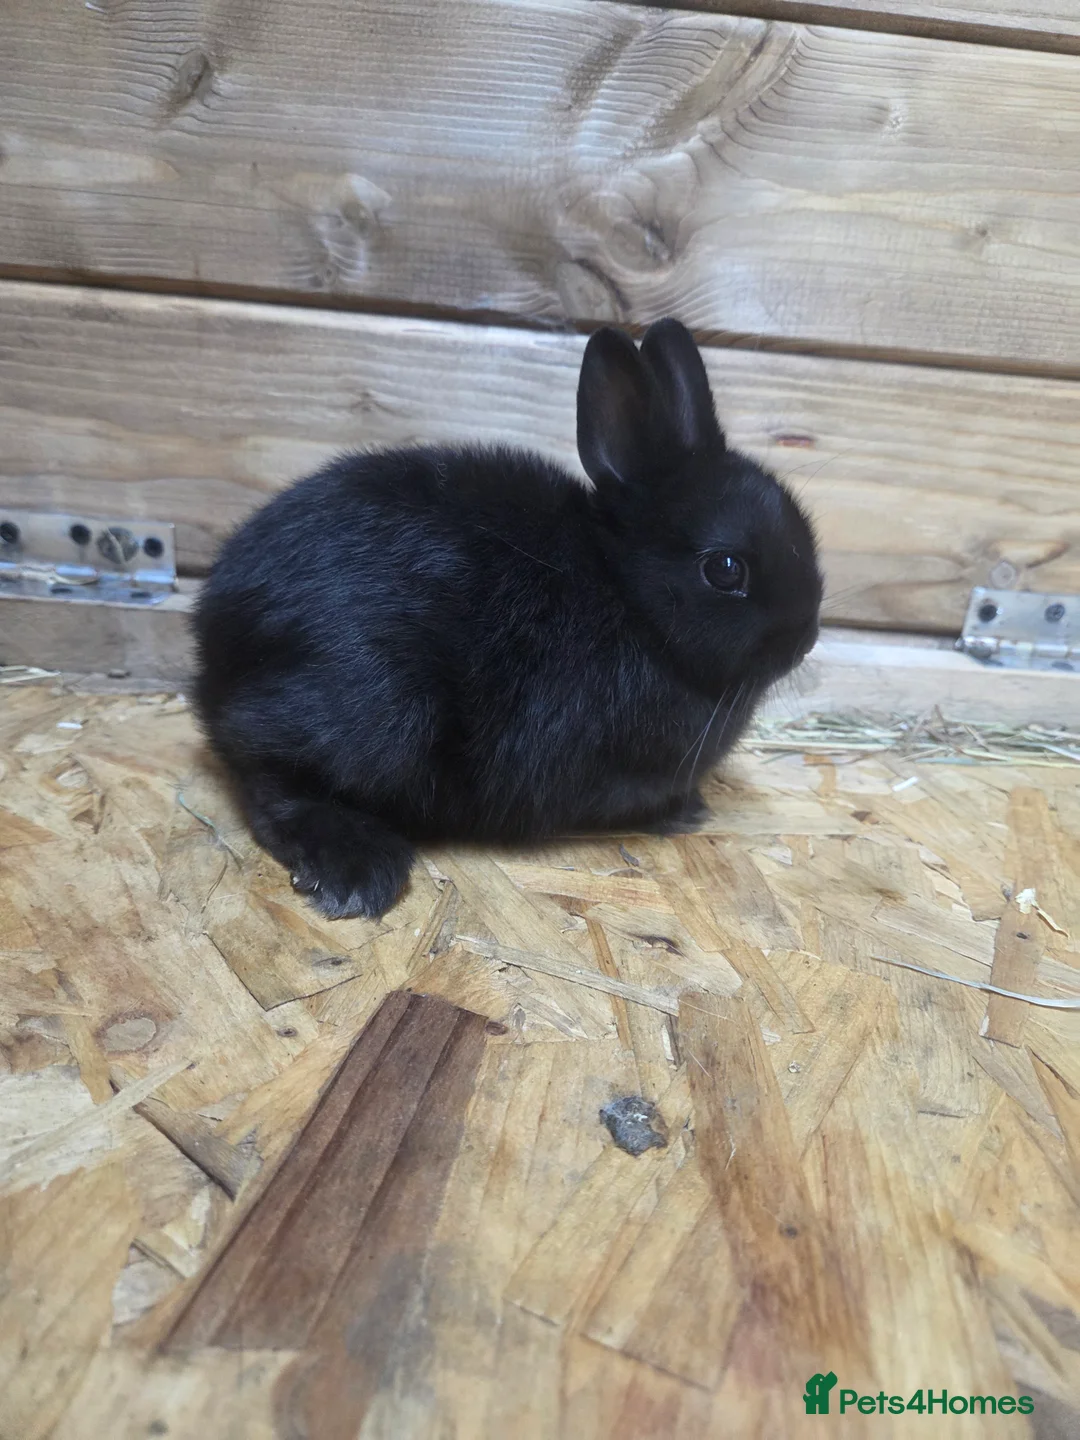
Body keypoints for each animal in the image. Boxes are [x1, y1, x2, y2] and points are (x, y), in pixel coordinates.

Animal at [193, 318, 822, 920]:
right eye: (725, 568)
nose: (807, 638)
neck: (629, 598)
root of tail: (215, 630)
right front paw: (684, 812)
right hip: (375, 712)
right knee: (265, 773)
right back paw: (356, 870)